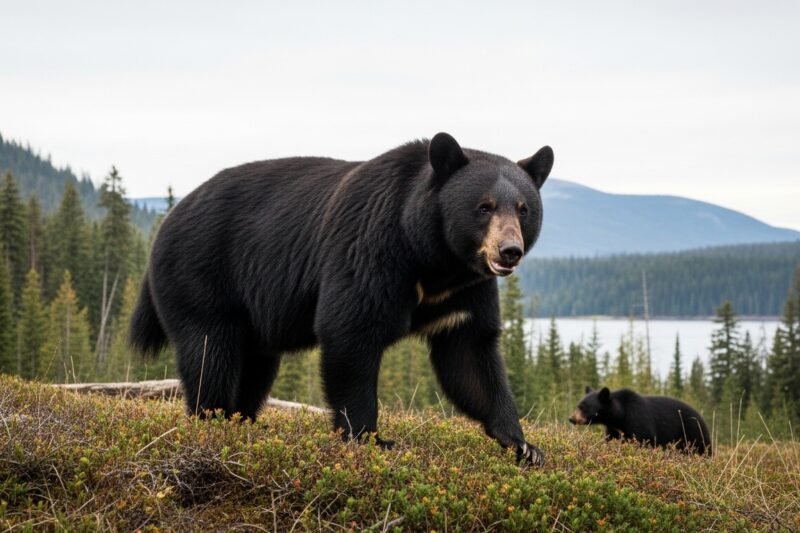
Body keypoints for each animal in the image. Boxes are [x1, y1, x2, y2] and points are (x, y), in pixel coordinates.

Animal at [129, 132, 554, 466]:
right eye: (484, 206)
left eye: (523, 209)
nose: (509, 251)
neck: (434, 259)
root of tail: (168, 219)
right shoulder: (371, 249)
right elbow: (351, 331)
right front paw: (370, 438)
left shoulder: (467, 291)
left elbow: (471, 355)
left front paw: (522, 444)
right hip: (202, 275)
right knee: (211, 352)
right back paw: (213, 419)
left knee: (254, 365)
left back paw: (242, 419)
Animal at [569, 386, 712, 455]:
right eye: (578, 405)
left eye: (583, 407)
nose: (571, 418)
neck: (620, 415)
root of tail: (702, 419)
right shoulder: (613, 428)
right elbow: (611, 439)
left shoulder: (638, 419)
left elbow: (644, 438)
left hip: (692, 432)